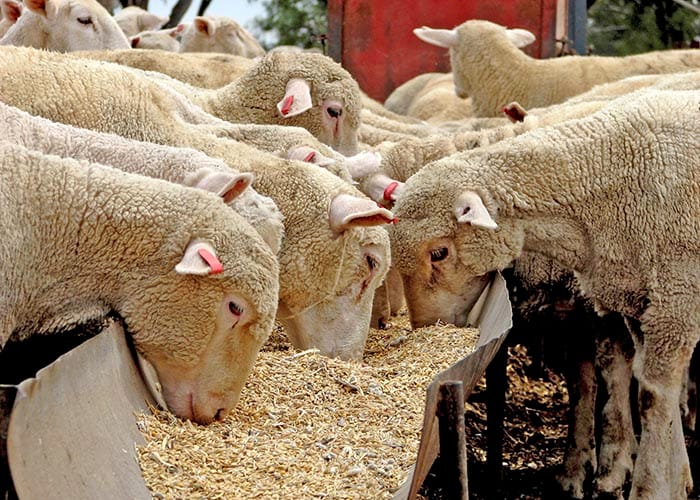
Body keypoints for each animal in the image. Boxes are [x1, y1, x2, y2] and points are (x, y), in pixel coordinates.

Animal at [389, 89, 700, 498]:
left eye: (439, 252)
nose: (427, 327)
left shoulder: (675, 296)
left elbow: (651, 397)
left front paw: (651, 486)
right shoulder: (639, 302)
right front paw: (679, 478)